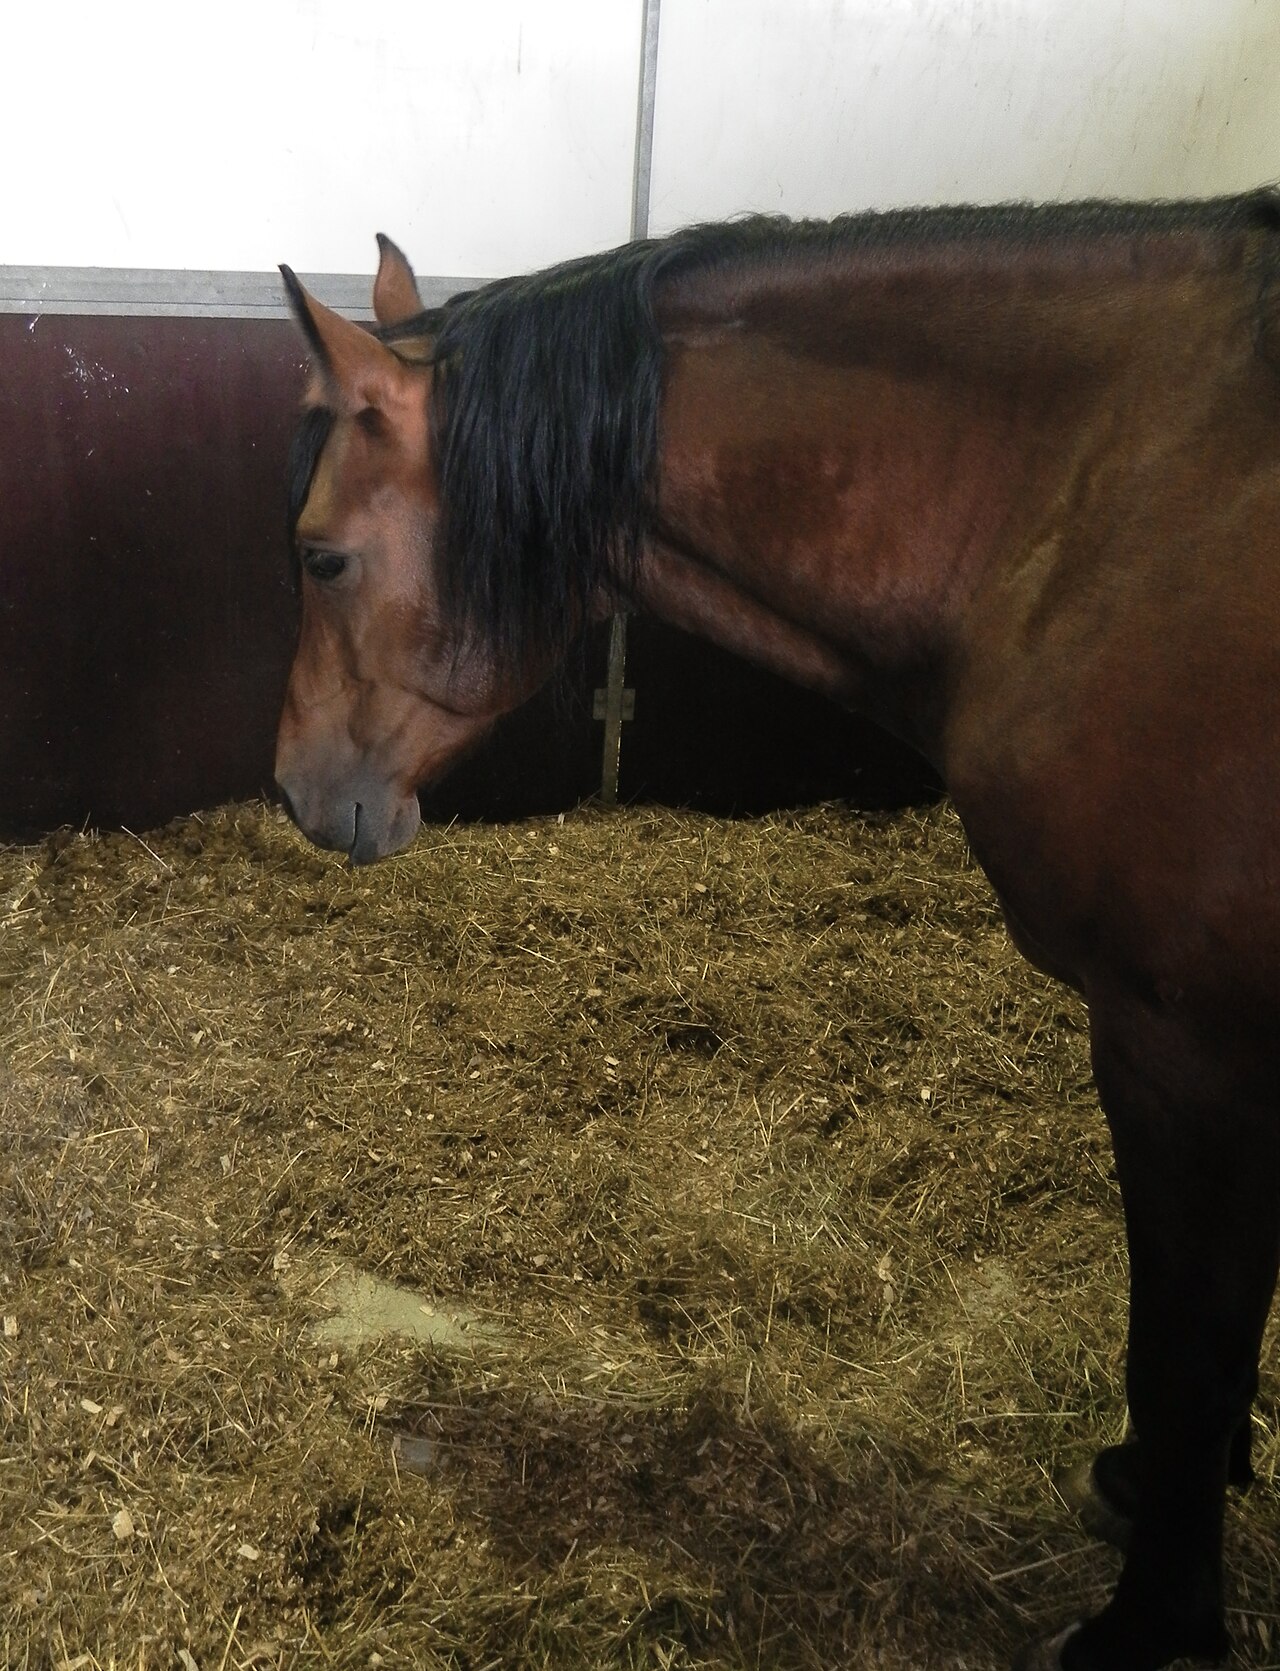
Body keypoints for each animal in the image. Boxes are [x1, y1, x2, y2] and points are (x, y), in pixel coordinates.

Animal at [274, 195, 1280, 1671]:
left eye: (322, 554)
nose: (293, 789)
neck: (1091, 497)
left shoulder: (1181, 1049)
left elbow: (1187, 1343)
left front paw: (1153, 1611)